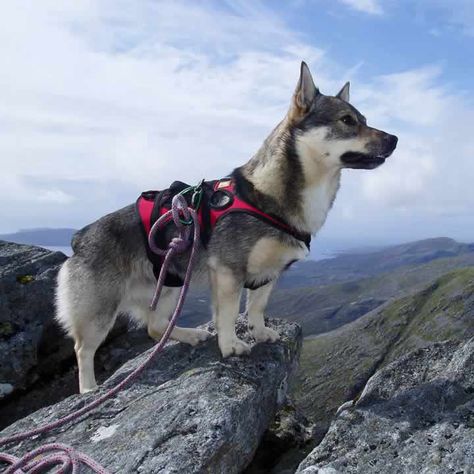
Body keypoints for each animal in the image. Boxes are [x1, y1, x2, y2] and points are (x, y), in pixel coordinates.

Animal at [54, 64, 396, 396]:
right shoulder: (229, 270)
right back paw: (89, 389)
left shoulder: (268, 274)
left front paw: (259, 333)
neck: (266, 196)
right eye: (347, 120)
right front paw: (231, 345)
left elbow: (256, 308)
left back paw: (190, 336)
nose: (394, 139)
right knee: (84, 349)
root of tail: (79, 238)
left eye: (364, 119)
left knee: (155, 327)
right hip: (100, 312)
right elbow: (229, 313)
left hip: (170, 285)